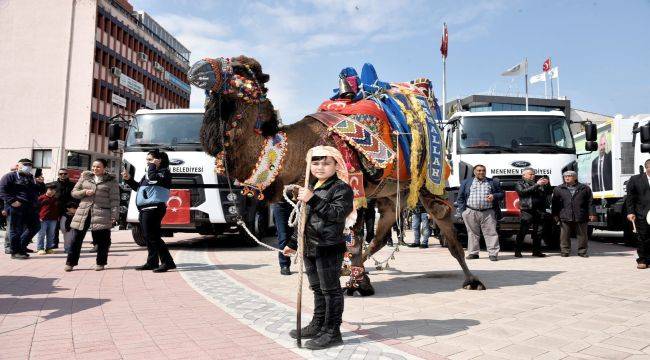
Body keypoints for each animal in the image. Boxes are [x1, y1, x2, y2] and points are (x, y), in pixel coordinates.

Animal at [185, 54, 484, 294]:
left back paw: (471, 279)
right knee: (383, 228)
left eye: (239, 68)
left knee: (442, 217)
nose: (196, 68)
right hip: (389, 190)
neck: (296, 148)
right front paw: (353, 278)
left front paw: (356, 284)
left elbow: (352, 236)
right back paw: (354, 269)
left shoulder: (351, 186)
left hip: (427, 181)